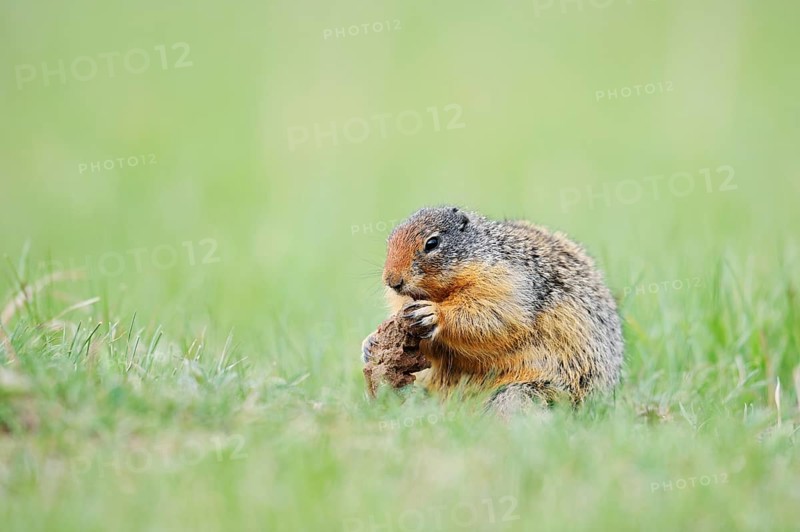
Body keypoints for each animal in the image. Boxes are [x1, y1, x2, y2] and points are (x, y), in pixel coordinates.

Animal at [361, 206, 623, 416]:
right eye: (389, 241)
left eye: (432, 243)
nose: (392, 281)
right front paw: (370, 342)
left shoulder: (505, 281)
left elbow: (491, 314)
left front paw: (433, 314)